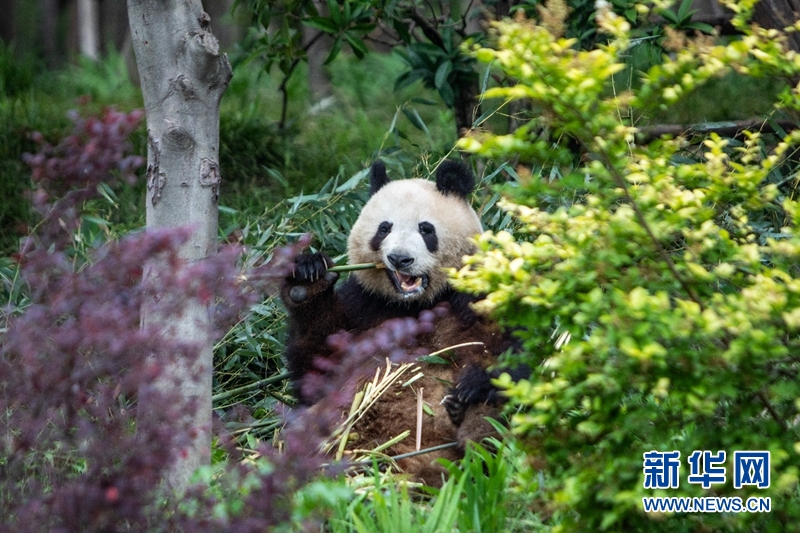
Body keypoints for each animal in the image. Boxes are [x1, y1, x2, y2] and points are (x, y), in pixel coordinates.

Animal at [280, 159, 519, 484]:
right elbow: (319, 368)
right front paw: (307, 278)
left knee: (492, 421)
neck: (418, 304)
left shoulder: (482, 293)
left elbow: (521, 352)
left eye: (426, 229)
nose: (400, 259)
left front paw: (474, 384)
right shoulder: (365, 305)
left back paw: (471, 431)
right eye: (384, 228)